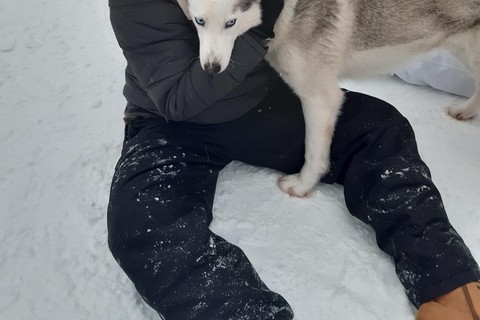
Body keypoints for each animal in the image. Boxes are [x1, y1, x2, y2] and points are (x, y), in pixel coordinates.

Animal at [177, 0, 480, 198]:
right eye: (199, 21)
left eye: (231, 22)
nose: (211, 69)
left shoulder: (321, 98)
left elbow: (314, 154)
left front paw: (302, 186)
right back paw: (465, 111)